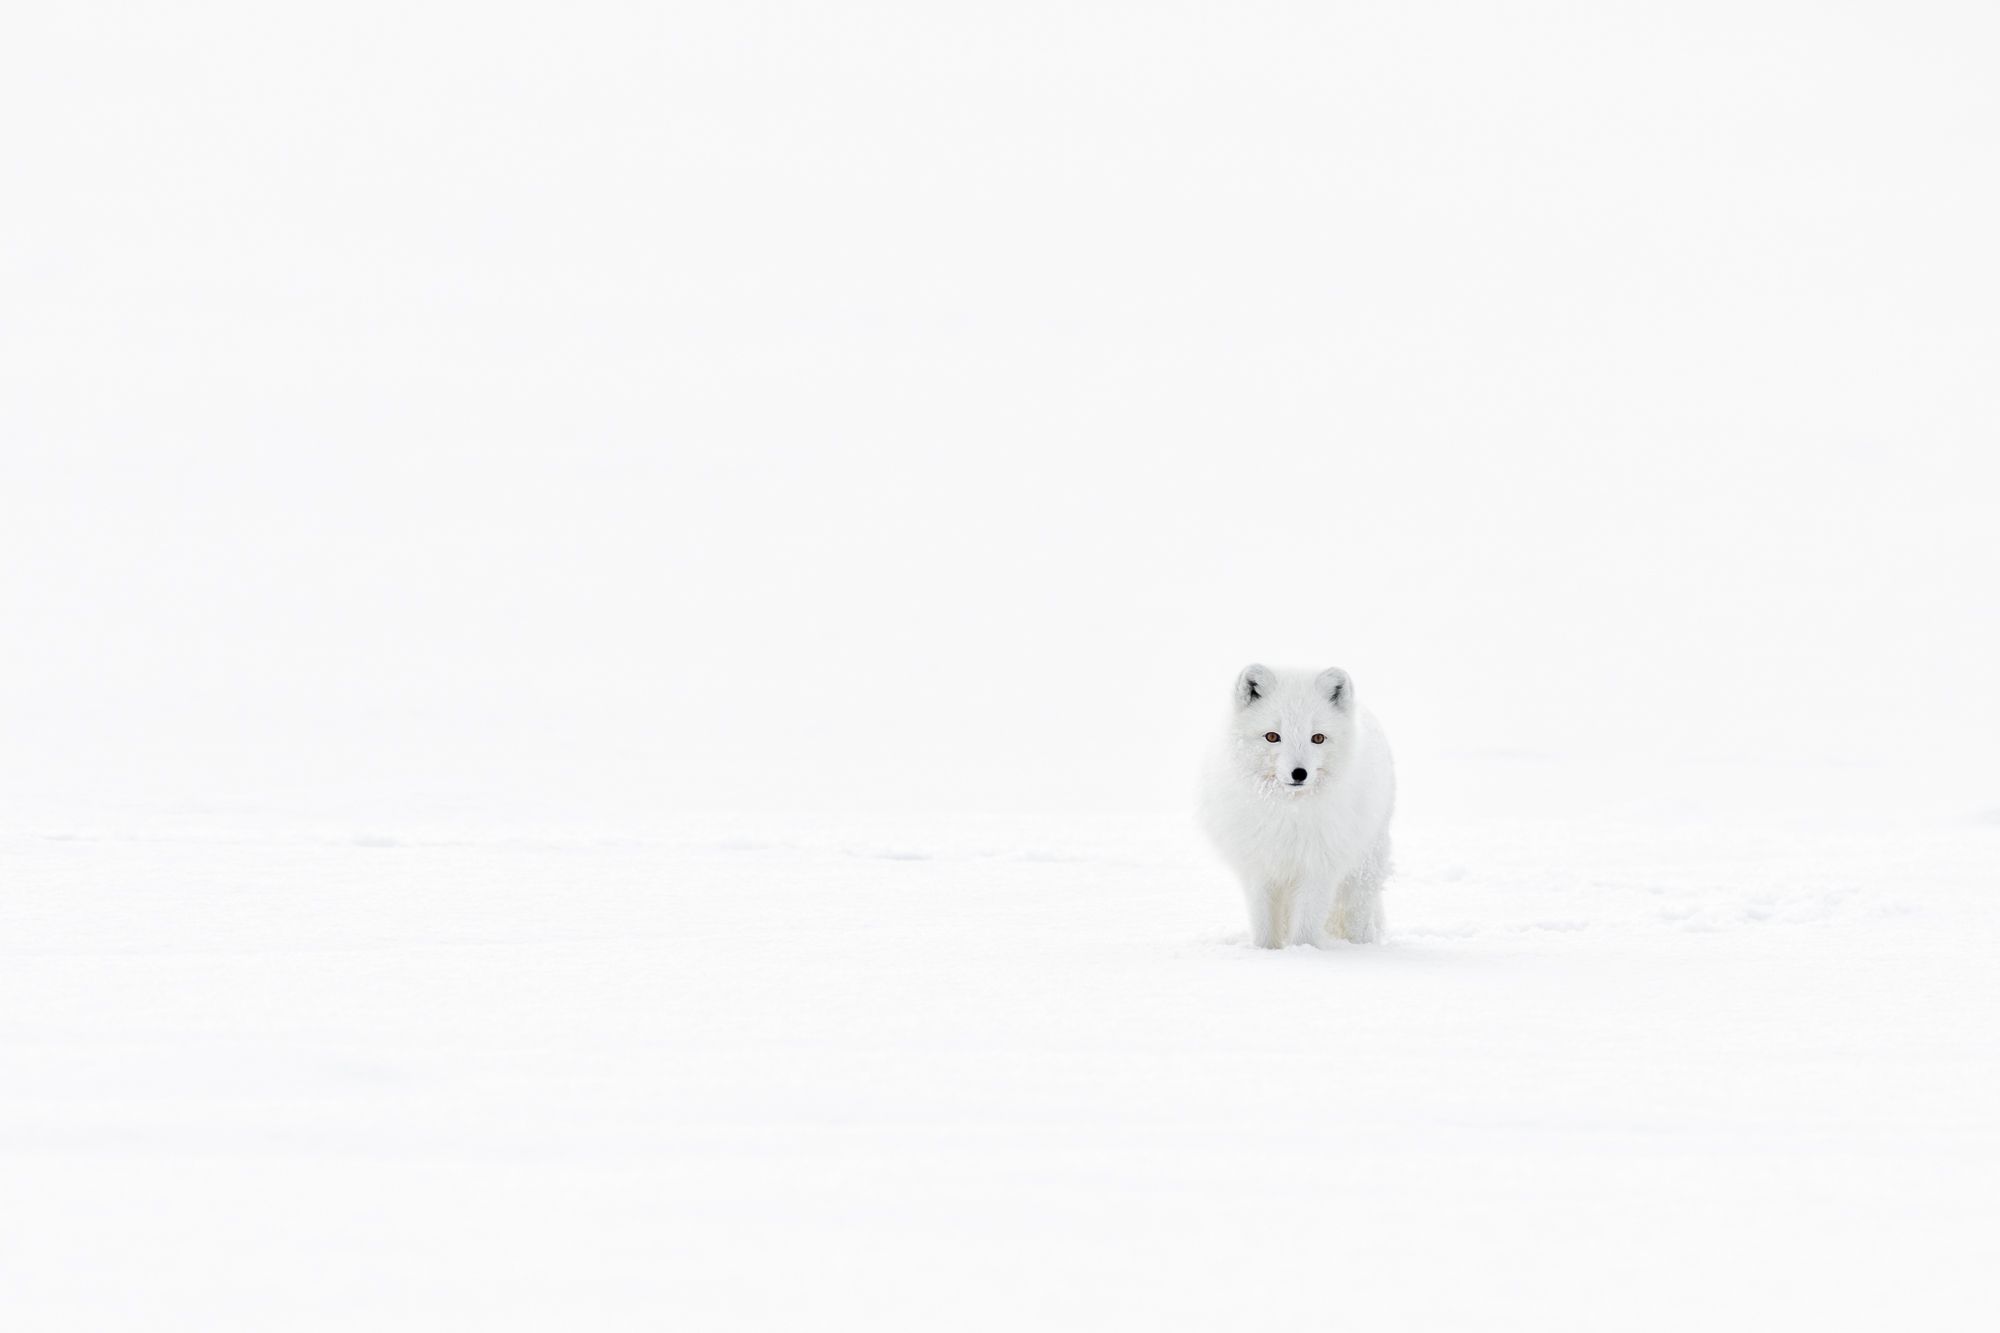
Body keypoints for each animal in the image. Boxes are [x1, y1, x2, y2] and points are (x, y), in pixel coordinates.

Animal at [1198, 664, 1396, 948]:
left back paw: (1362, 944)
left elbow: (1305, 923)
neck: (1288, 812)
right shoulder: (1259, 867)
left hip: (1364, 863)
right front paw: (1265, 951)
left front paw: (1302, 951)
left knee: (1358, 910)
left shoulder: (1318, 867)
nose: (1299, 773)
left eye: (1318, 738)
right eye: (1272, 736)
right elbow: (1264, 923)